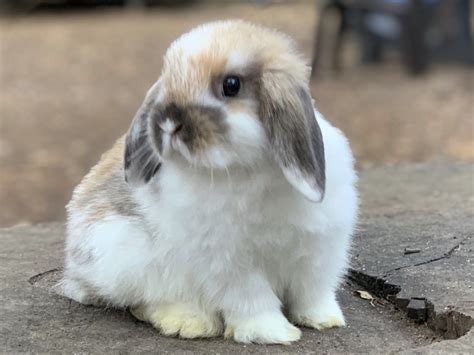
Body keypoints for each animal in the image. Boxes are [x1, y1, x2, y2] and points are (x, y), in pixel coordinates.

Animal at [61, 19, 358, 344]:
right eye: (168, 79)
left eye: (231, 85)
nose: (168, 122)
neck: (248, 168)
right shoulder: (231, 264)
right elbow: (253, 299)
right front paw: (273, 332)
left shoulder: (318, 254)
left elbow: (312, 293)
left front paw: (324, 320)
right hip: (129, 259)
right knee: (144, 302)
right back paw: (188, 322)